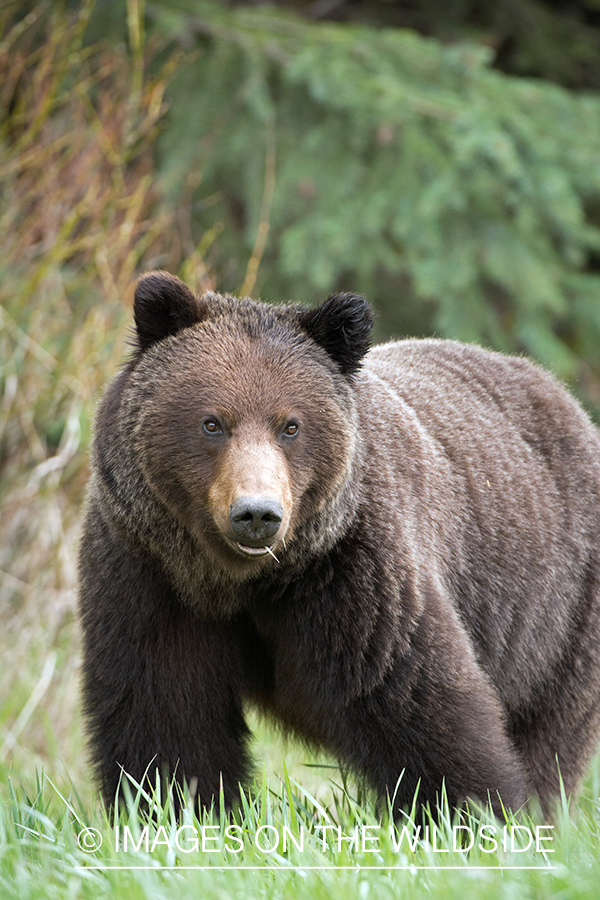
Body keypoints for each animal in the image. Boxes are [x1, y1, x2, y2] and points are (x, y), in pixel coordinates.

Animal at [77, 270, 600, 820]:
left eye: (290, 425)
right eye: (212, 422)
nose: (257, 514)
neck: (242, 581)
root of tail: (562, 394)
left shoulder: (354, 572)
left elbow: (414, 697)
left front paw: (474, 813)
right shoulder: (150, 570)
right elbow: (162, 711)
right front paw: (178, 809)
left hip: (554, 611)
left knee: (547, 732)